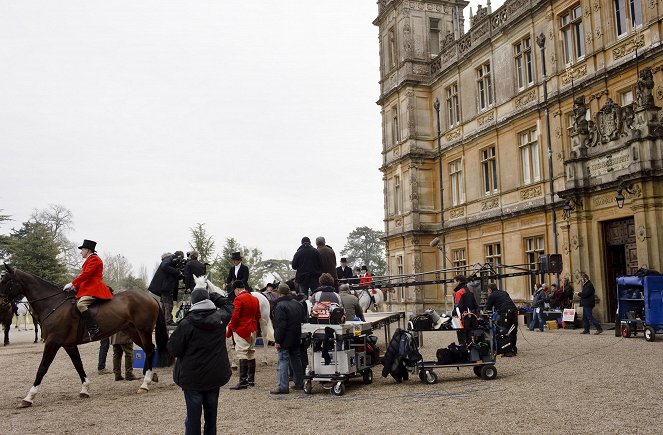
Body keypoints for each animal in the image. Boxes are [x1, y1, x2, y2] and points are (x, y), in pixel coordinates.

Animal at [0, 266, 171, 408]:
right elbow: (78, 365)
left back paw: (145, 384)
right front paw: (85, 389)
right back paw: (150, 377)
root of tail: (150, 297)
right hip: (133, 332)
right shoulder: (68, 344)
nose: (2, 304)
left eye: (6, 280)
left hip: (143, 330)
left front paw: (29, 397)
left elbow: (42, 368)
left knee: (149, 349)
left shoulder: (53, 342)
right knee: (149, 349)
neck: (53, 304)